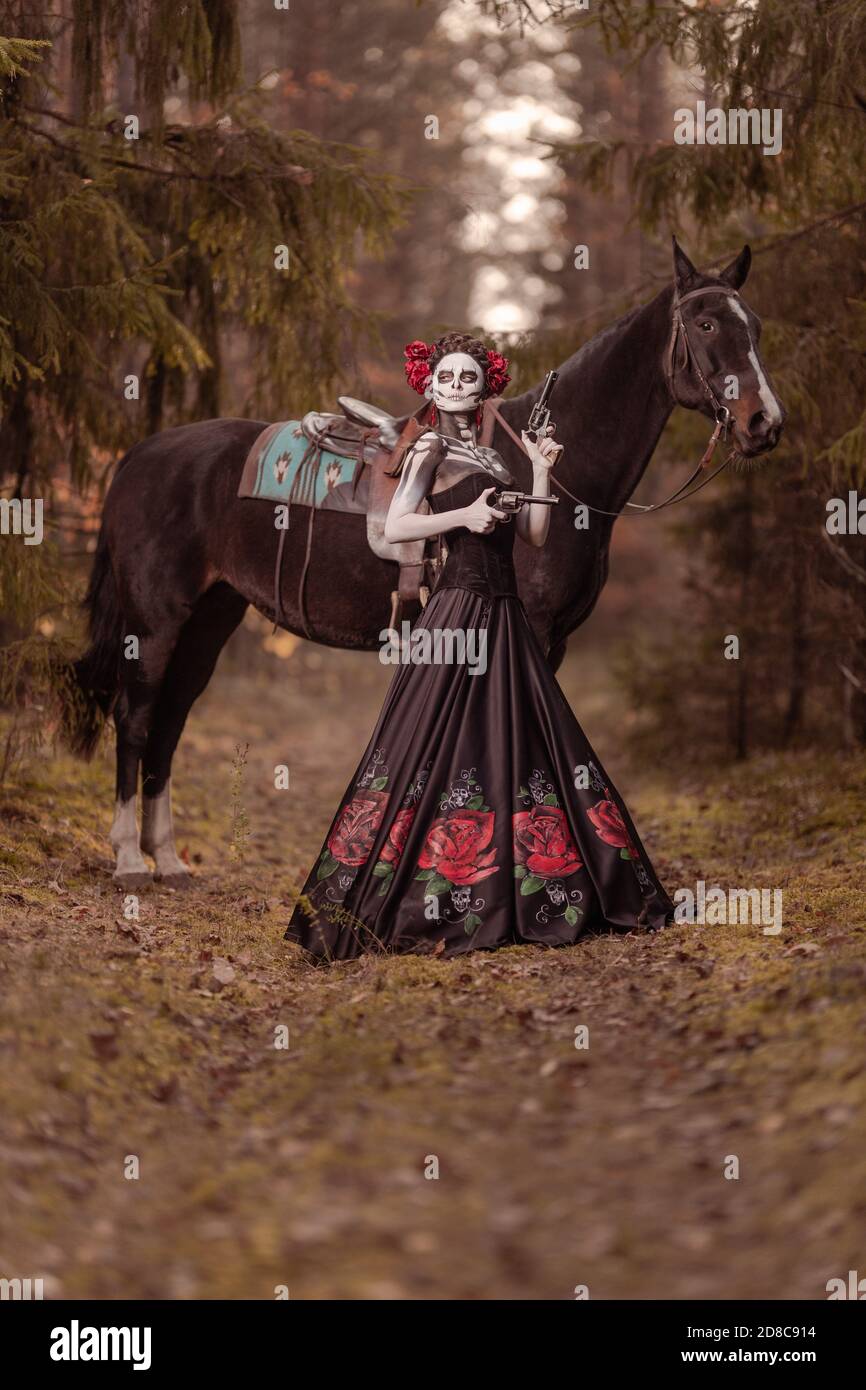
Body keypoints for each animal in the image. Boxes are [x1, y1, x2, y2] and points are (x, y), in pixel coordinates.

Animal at [67, 240, 783, 884]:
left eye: (753, 325)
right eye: (706, 324)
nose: (764, 423)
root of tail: (140, 455)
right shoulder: (532, 628)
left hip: (210, 619)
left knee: (170, 721)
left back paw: (169, 860)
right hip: (156, 621)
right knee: (137, 718)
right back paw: (130, 861)